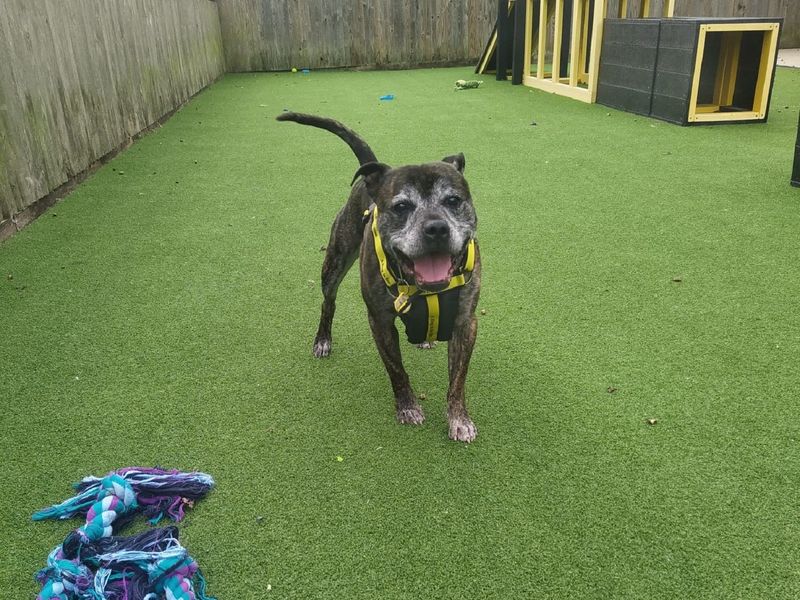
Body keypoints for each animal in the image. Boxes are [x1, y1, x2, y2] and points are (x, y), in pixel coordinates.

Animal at [276, 111, 482, 440]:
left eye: (453, 200)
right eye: (401, 206)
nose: (436, 228)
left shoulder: (466, 323)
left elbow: (458, 380)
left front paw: (458, 418)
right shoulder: (380, 322)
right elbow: (396, 369)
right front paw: (408, 407)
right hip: (335, 263)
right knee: (328, 303)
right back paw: (323, 339)